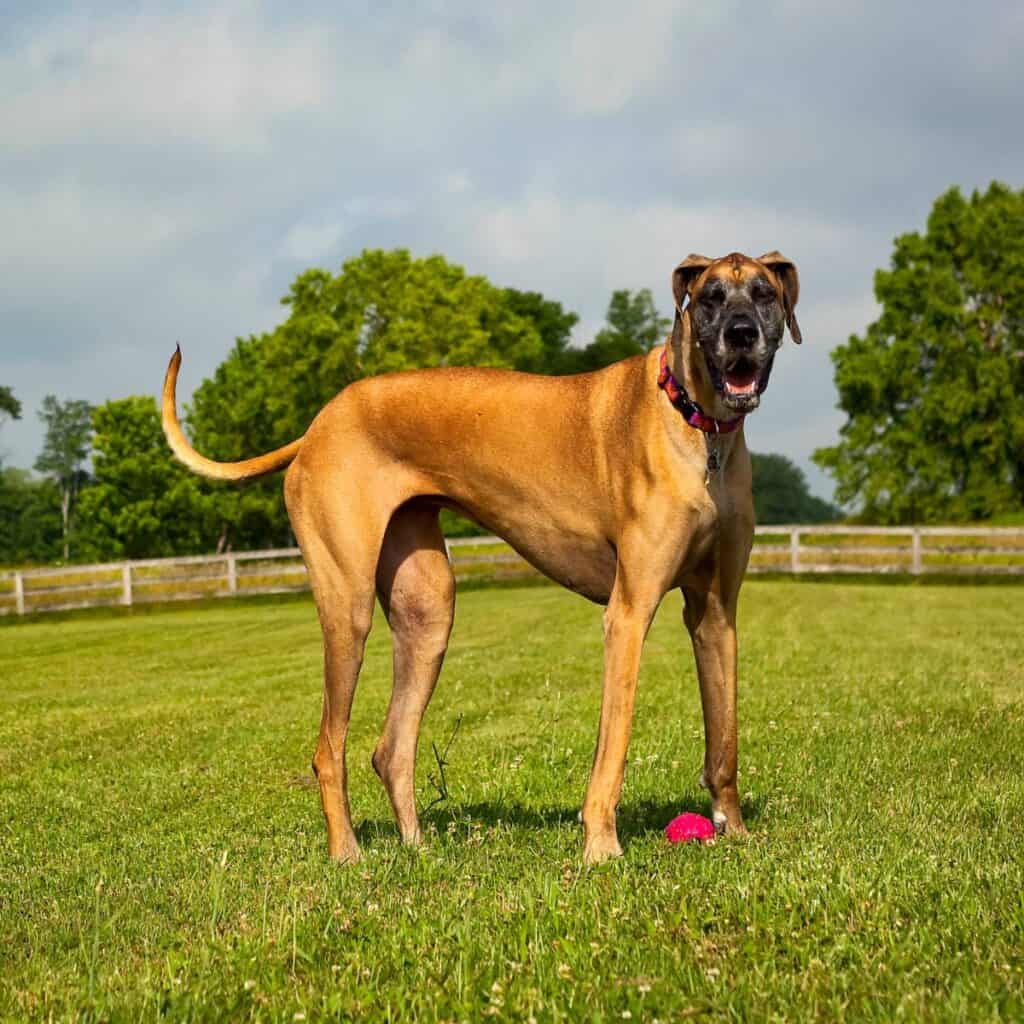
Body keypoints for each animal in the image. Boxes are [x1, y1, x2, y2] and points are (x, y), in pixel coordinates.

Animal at [161, 249, 798, 864]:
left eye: (763, 294)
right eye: (710, 297)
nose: (742, 333)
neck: (696, 424)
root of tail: (319, 425)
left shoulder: (715, 614)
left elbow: (724, 742)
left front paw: (736, 832)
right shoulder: (628, 612)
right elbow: (612, 746)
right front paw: (600, 847)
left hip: (427, 610)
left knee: (391, 748)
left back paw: (415, 848)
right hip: (348, 609)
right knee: (328, 748)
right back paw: (347, 854)